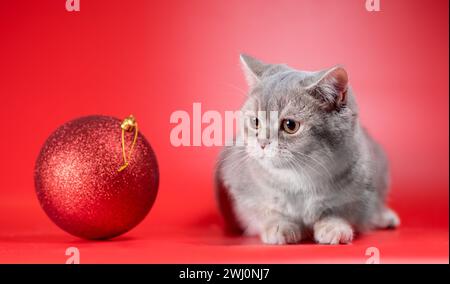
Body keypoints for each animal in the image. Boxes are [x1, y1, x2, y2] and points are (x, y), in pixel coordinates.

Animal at [215, 53, 400, 244]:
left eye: (290, 125)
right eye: (255, 121)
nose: (263, 143)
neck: (299, 179)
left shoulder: (361, 188)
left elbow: (342, 210)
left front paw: (333, 226)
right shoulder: (241, 187)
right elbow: (265, 210)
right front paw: (279, 225)